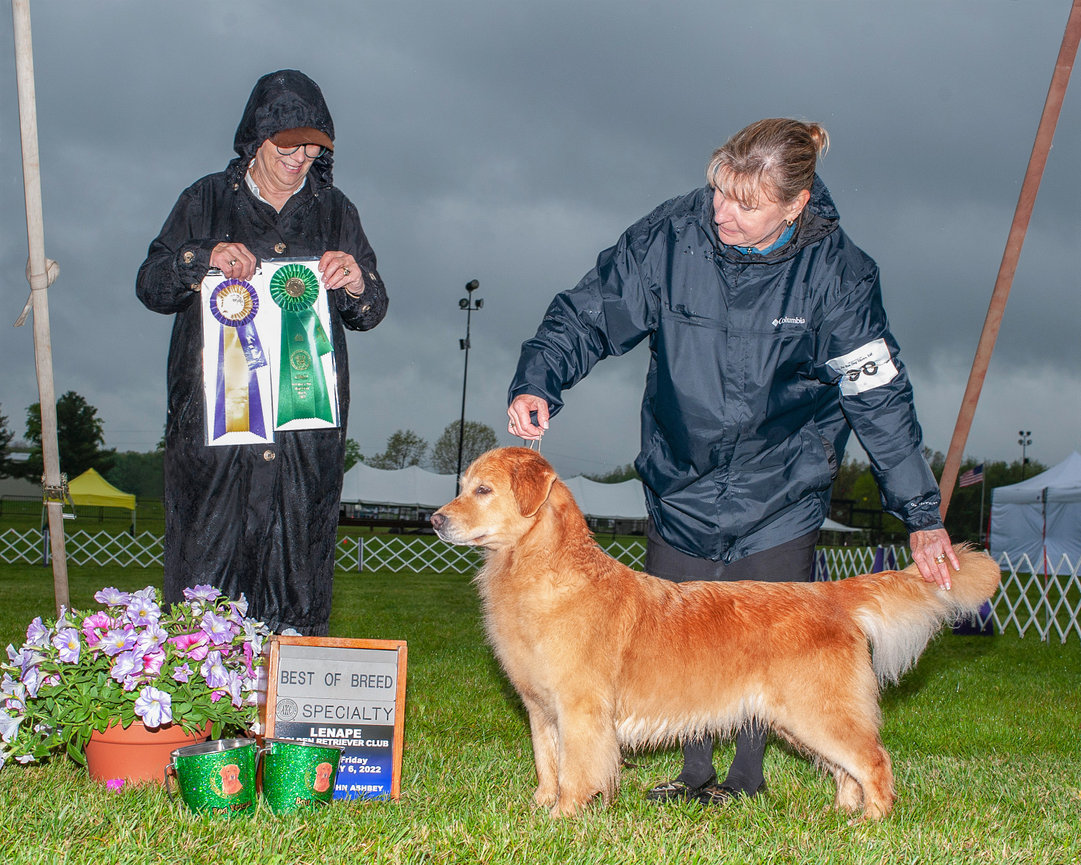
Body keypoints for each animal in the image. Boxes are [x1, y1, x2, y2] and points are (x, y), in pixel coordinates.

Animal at [428, 445, 994, 817]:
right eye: (462, 487)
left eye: (482, 490)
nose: (434, 520)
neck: (538, 571)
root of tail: (828, 595)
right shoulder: (540, 707)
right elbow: (547, 763)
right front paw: (539, 808)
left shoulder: (581, 709)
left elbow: (576, 770)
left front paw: (565, 817)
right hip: (801, 719)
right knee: (846, 770)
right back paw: (841, 815)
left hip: (820, 712)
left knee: (875, 760)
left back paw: (872, 823)